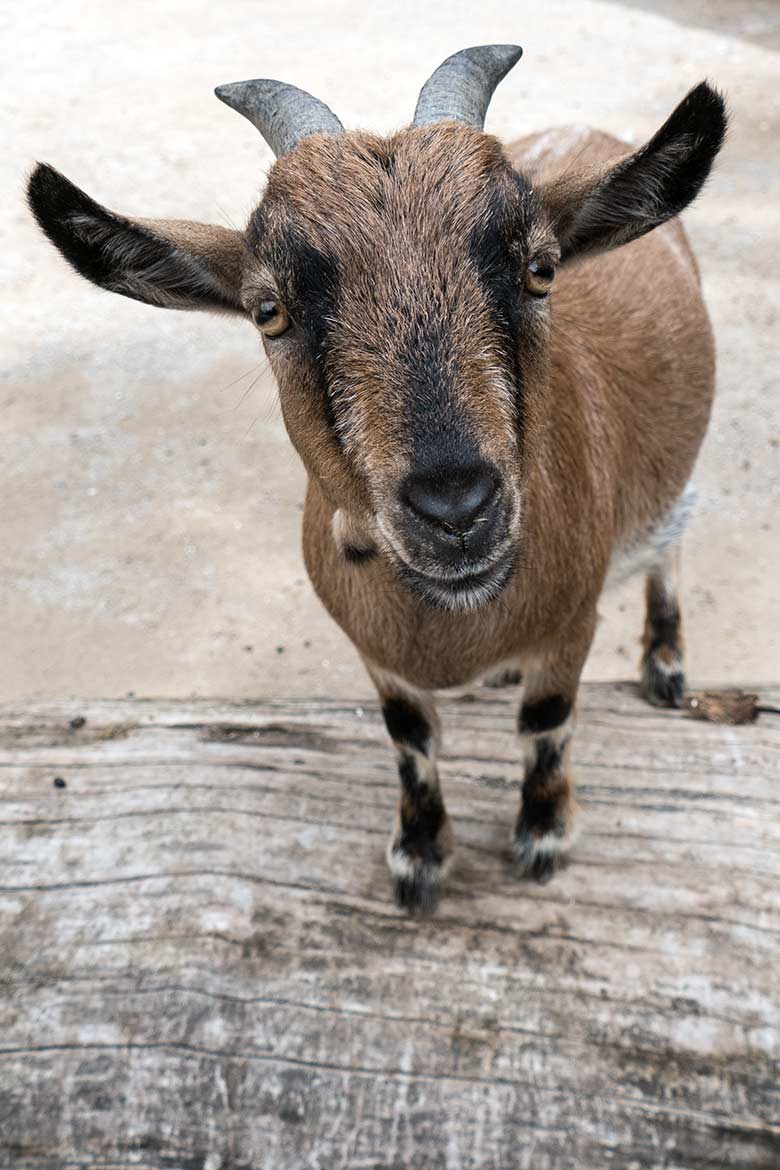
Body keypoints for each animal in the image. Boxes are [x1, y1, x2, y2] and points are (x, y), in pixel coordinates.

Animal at [28, 45, 725, 912]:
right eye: (268, 311)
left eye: (541, 268)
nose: (457, 508)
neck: (453, 623)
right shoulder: (374, 650)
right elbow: (410, 737)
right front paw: (419, 859)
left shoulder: (571, 621)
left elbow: (547, 721)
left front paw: (542, 837)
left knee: (671, 541)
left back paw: (665, 662)